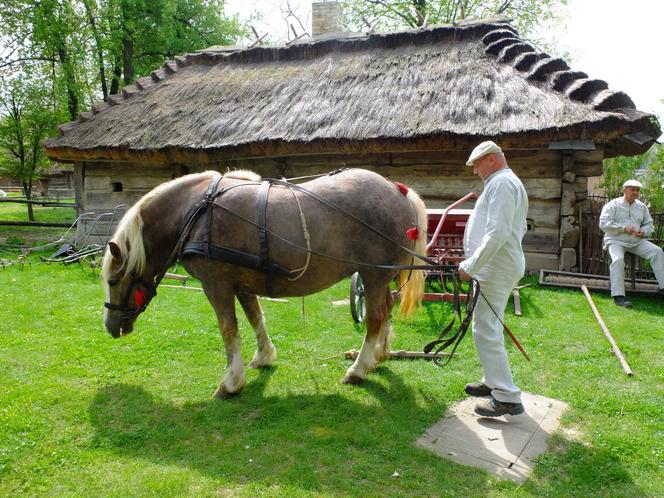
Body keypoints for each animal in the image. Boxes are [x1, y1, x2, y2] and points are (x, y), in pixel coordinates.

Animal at [101, 167, 428, 396]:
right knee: (386, 309)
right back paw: (377, 357)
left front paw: (232, 382)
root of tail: (398, 190)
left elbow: (228, 328)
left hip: (373, 275)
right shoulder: (243, 282)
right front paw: (263, 356)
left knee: (374, 318)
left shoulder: (216, 283)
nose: (111, 327)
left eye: (113, 280)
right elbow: (255, 317)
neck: (196, 212)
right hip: (381, 278)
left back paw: (358, 369)